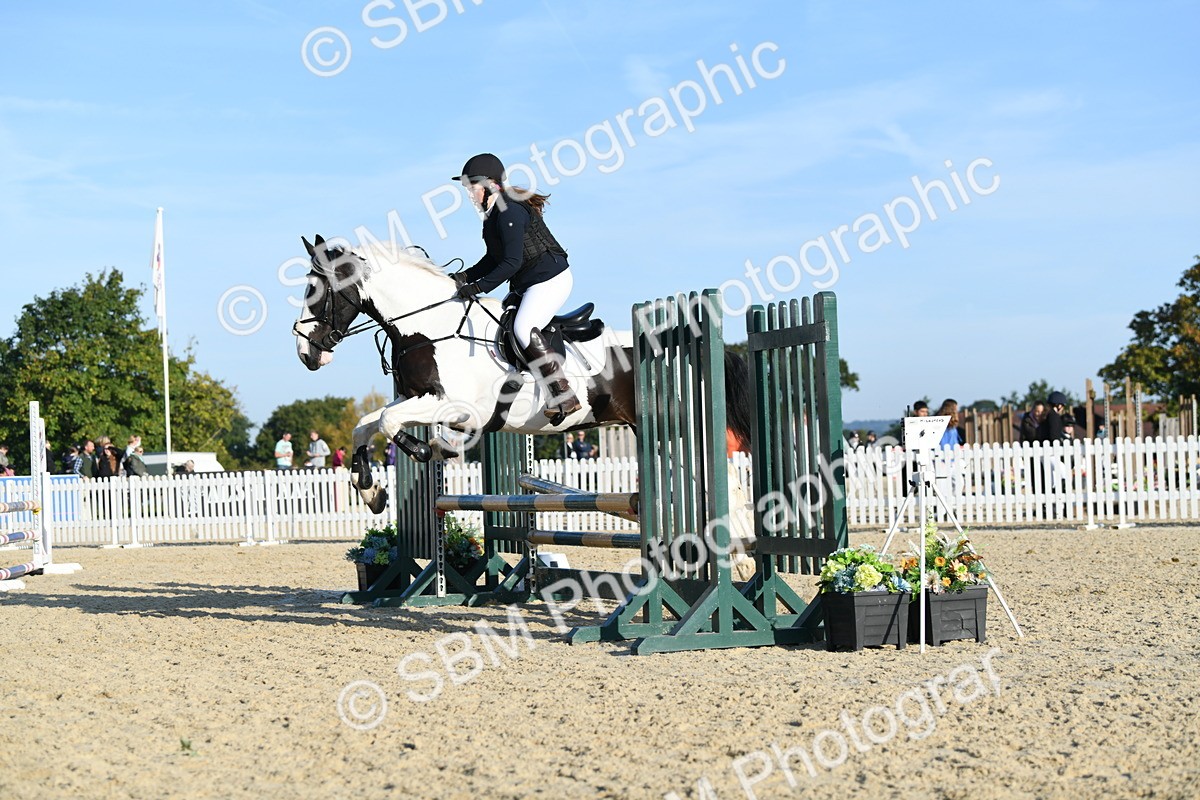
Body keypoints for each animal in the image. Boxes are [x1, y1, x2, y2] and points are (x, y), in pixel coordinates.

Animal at [292, 234, 751, 514]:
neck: (428, 324)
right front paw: (372, 491)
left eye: (315, 291)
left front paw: (430, 449)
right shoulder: (415, 398)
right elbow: (365, 424)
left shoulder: (457, 407)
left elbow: (388, 422)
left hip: (679, 429)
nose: (305, 353)